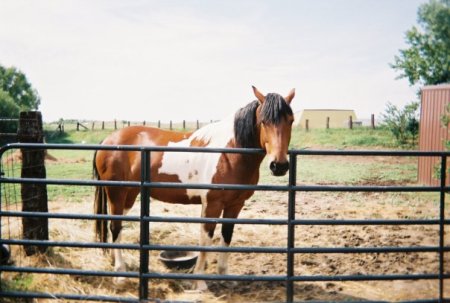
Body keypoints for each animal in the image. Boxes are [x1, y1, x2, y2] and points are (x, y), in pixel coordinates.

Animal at [92, 86, 296, 290]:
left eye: (291, 120)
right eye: (263, 121)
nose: (279, 165)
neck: (230, 153)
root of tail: (108, 140)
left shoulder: (235, 205)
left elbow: (226, 236)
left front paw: (224, 276)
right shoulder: (212, 205)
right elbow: (206, 239)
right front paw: (200, 282)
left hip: (130, 195)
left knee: (116, 225)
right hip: (117, 194)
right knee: (115, 227)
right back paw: (120, 273)